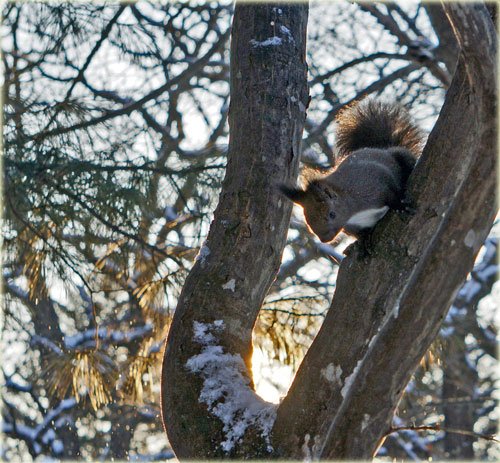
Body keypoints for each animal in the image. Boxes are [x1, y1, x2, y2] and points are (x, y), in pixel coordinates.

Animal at [280, 99, 424, 245]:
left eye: (332, 214)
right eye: (307, 220)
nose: (325, 240)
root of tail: (381, 148)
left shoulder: (373, 184)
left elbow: (391, 193)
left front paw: (400, 206)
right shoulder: (351, 226)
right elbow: (358, 233)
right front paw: (364, 240)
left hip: (401, 157)